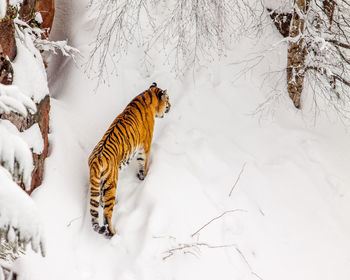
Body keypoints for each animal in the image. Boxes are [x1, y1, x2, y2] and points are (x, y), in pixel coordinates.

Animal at [88, 82, 172, 237]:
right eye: (167, 99)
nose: (170, 105)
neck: (147, 95)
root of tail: (96, 160)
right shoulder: (145, 147)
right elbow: (143, 164)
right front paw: (143, 178)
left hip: (99, 184)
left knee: (100, 202)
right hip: (111, 183)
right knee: (107, 214)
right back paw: (113, 233)